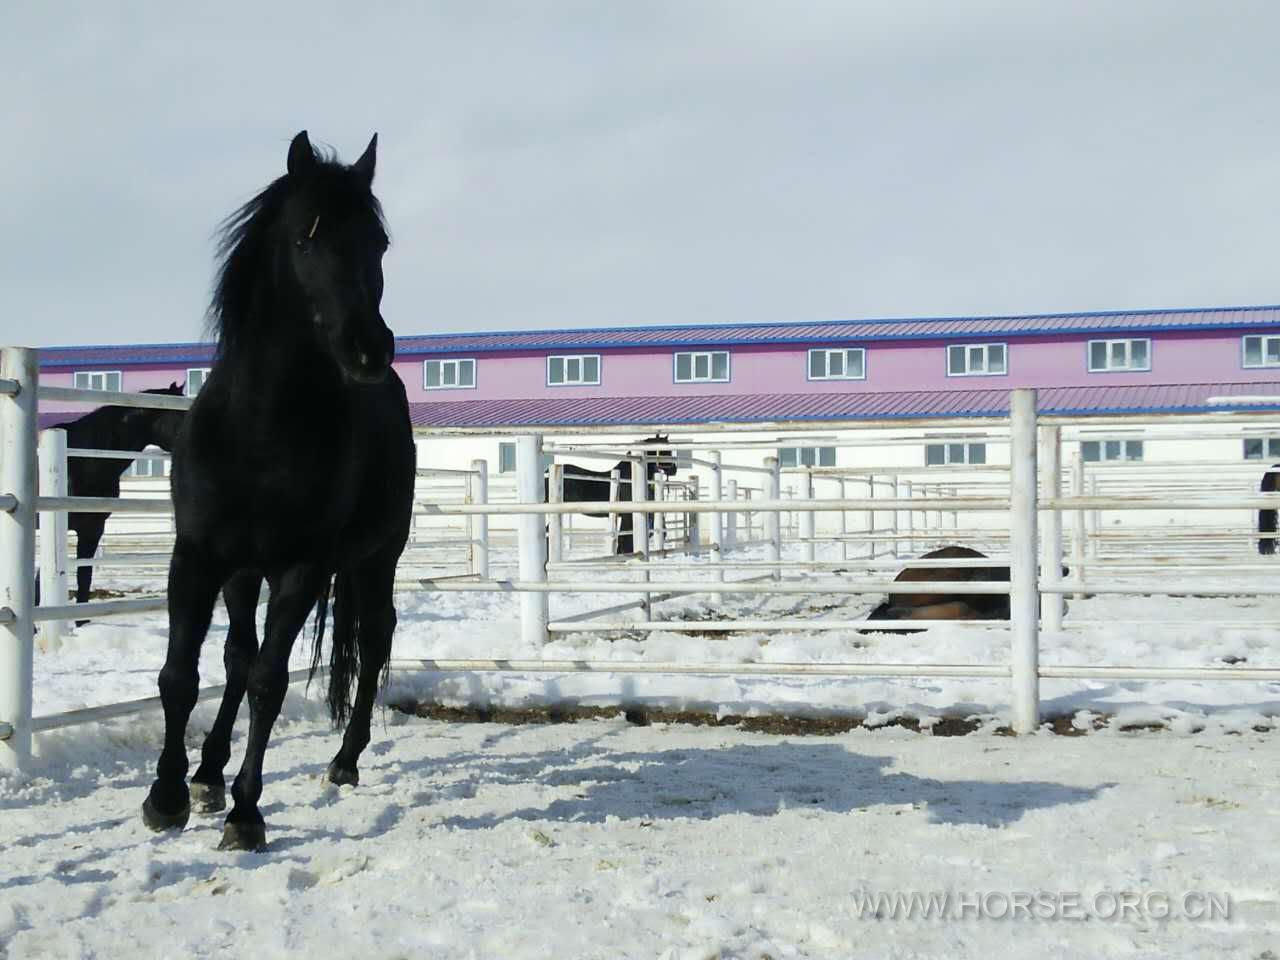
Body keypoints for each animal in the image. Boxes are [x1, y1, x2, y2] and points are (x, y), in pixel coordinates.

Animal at [144, 131, 414, 855]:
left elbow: (270, 680)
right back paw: (207, 774)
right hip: (243, 574)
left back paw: (344, 761)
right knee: (236, 657)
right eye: (304, 239)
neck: (260, 431)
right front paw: (167, 796)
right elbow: (183, 674)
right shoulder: (197, 556)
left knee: (375, 639)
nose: (369, 349)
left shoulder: (302, 568)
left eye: (379, 243)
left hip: (377, 559)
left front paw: (246, 814)